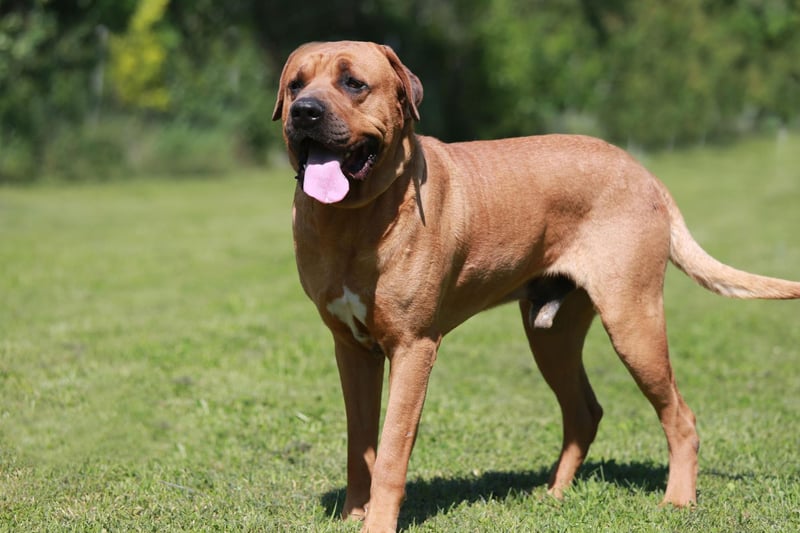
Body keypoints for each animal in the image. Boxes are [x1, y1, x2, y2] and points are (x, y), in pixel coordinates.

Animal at [274, 39, 800, 528]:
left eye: (353, 84)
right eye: (296, 85)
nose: (305, 112)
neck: (353, 219)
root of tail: (645, 174)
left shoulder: (413, 346)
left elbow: (390, 451)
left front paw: (378, 522)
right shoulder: (352, 348)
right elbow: (359, 445)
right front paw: (353, 515)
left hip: (634, 322)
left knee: (680, 416)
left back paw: (677, 500)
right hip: (552, 334)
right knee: (584, 412)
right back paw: (555, 494)